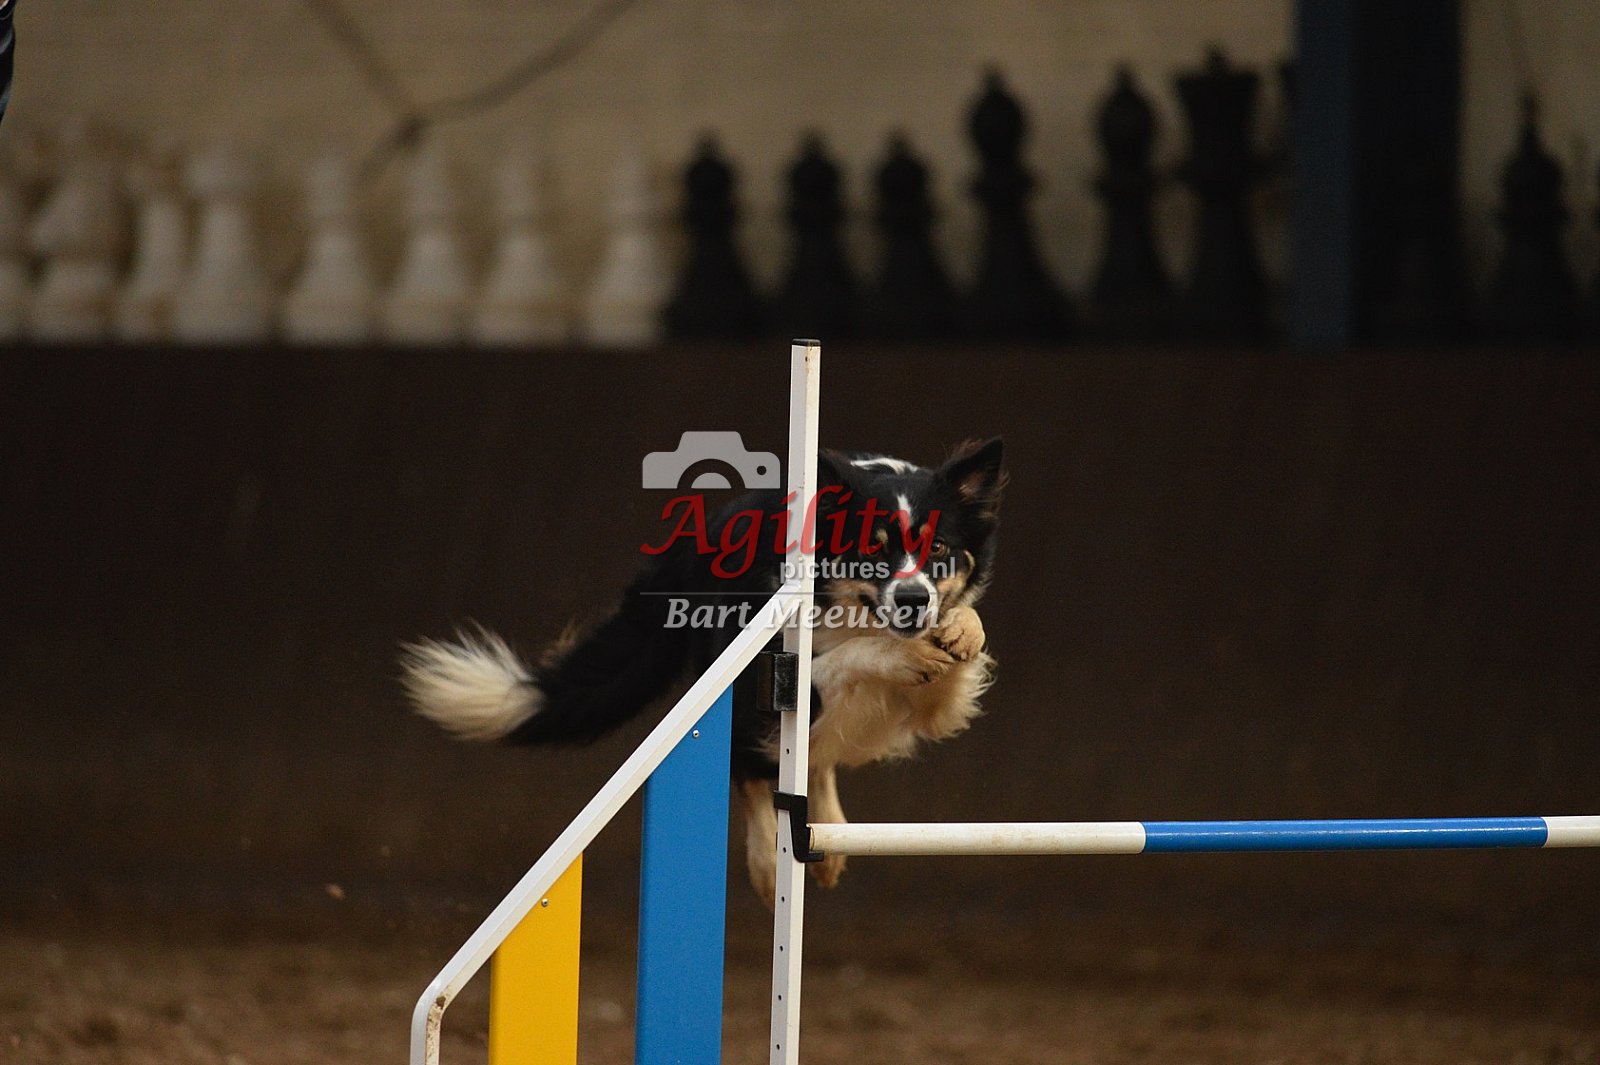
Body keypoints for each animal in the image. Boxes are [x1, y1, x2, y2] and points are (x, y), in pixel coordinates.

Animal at [400, 437, 1005, 907]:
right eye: (870, 551)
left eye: (940, 546)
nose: (912, 601)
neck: (851, 605)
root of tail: (701, 532)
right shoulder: (772, 664)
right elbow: (844, 659)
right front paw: (902, 653)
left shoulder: (928, 697)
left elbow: (958, 654)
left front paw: (962, 631)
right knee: (753, 763)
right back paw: (769, 861)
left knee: (808, 751)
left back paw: (826, 828)